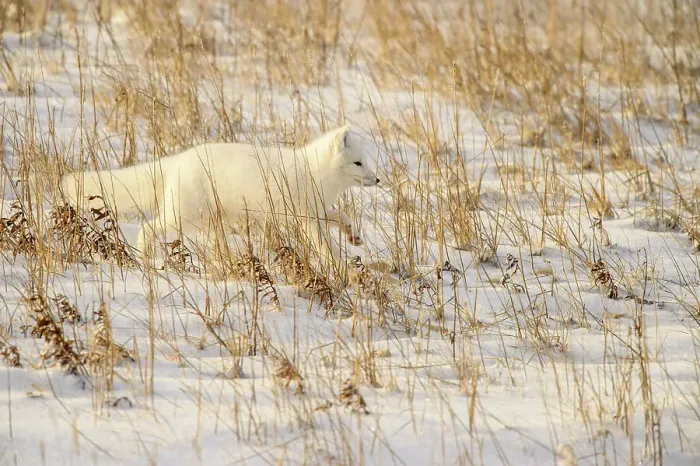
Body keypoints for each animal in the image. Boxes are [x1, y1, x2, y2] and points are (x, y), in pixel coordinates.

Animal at [60, 125, 380, 264]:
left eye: (366, 160)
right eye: (358, 163)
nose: (377, 179)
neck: (315, 172)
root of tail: (179, 160)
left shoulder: (318, 208)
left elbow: (341, 216)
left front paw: (353, 236)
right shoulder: (304, 217)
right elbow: (323, 243)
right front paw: (338, 264)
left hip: (210, 219)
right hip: (183, 216)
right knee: (148, 227)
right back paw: (147, 256)